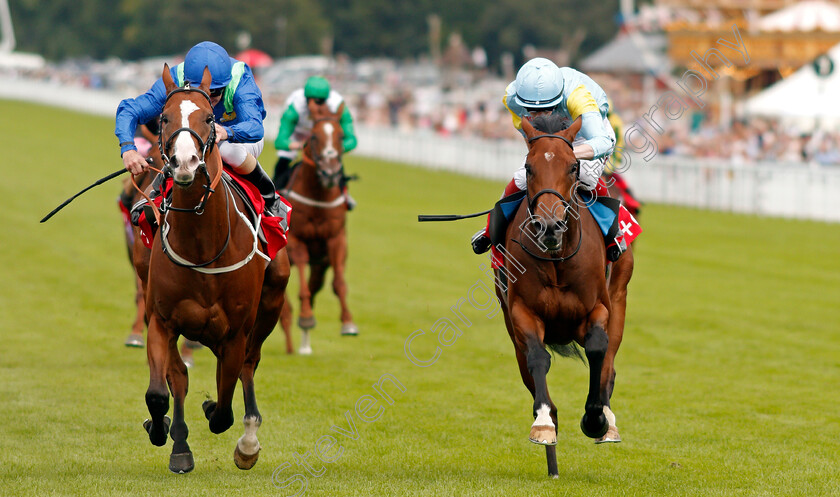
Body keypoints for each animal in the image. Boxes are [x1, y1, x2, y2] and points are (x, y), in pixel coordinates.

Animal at [280, 99, 356, 352]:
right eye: (313, 136)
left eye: (341, 136)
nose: (330, 173)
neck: (318, 197)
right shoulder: (296, 241)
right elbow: (302, 284)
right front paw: (305, 317)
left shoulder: (336, 239)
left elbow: (339, 283)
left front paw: (348, 323)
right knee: (284, 308)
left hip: (320, 265)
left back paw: (304, 345)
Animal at [492, 116, 632, 476]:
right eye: (529, 168)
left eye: (572, 167)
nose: (550, 226)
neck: (557, 259)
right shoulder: (521, 312)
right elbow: (539, 359)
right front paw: (543, 425)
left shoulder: (599, 308)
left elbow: (597, 350)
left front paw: (595, 419)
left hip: (620, 297)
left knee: (609, 363)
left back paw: (608, 421)